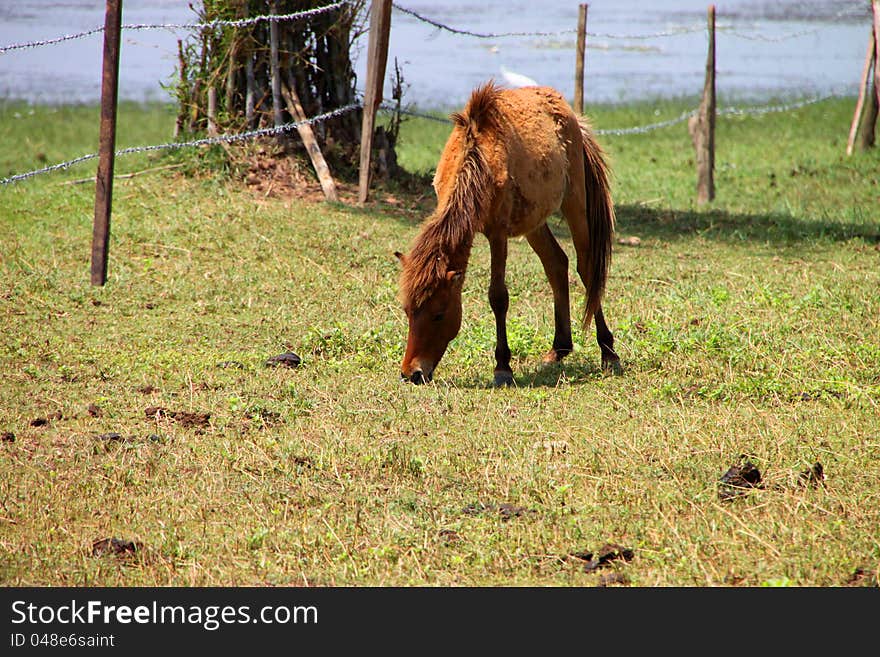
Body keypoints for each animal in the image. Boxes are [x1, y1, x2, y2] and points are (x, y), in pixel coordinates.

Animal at [396, 81, 624, 384]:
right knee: (556, 263)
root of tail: (569, 112)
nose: (413, 373)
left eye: (439, 314)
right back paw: (559, 348)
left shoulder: (497, 233)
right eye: (408, 311)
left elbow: (498, 297)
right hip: (534, 221)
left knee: (588, 269)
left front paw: (503, 367)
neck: (478, 160)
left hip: (576, 203)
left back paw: (608, 352)